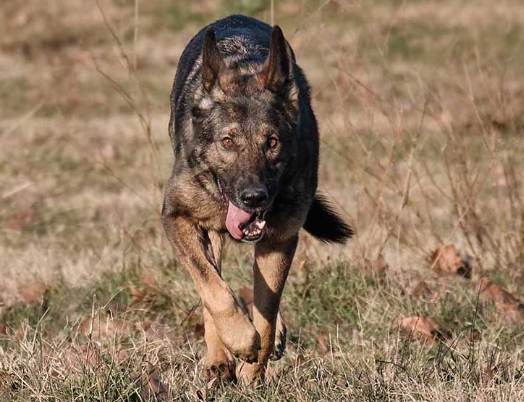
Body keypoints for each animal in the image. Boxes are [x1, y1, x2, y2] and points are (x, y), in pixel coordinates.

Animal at [163, 14, 352, 384]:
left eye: (272, 142)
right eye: (227, 141)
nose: (253, 198)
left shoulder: (280, 238)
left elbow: (267, 306)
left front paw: (253, 368)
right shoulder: (176, 217)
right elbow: (214, 290)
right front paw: (239, 340)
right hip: (210, 233)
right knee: (213, 281)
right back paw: (218, 358)